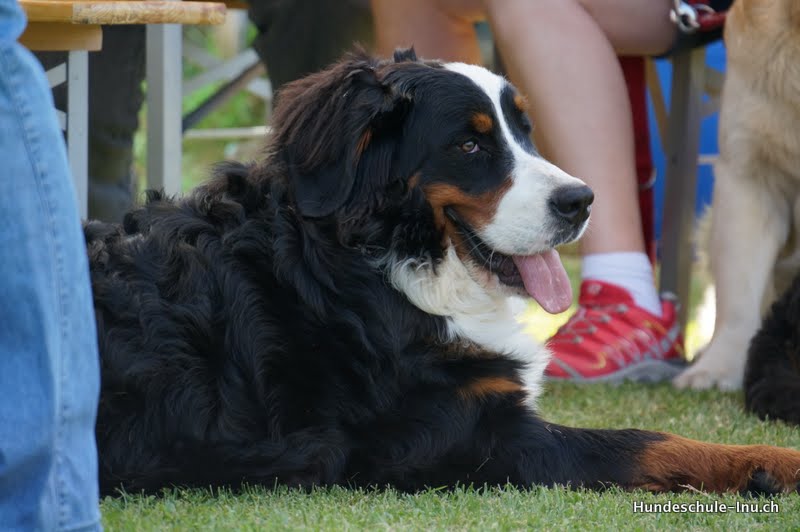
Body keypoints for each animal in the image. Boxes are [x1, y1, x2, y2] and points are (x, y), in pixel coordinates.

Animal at [87, 48, 800, 496]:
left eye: (524, 129)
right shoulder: (482, 438)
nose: (581, 200)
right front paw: (775, 462)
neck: (380, 264)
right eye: (470, 143)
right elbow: (651, 440)